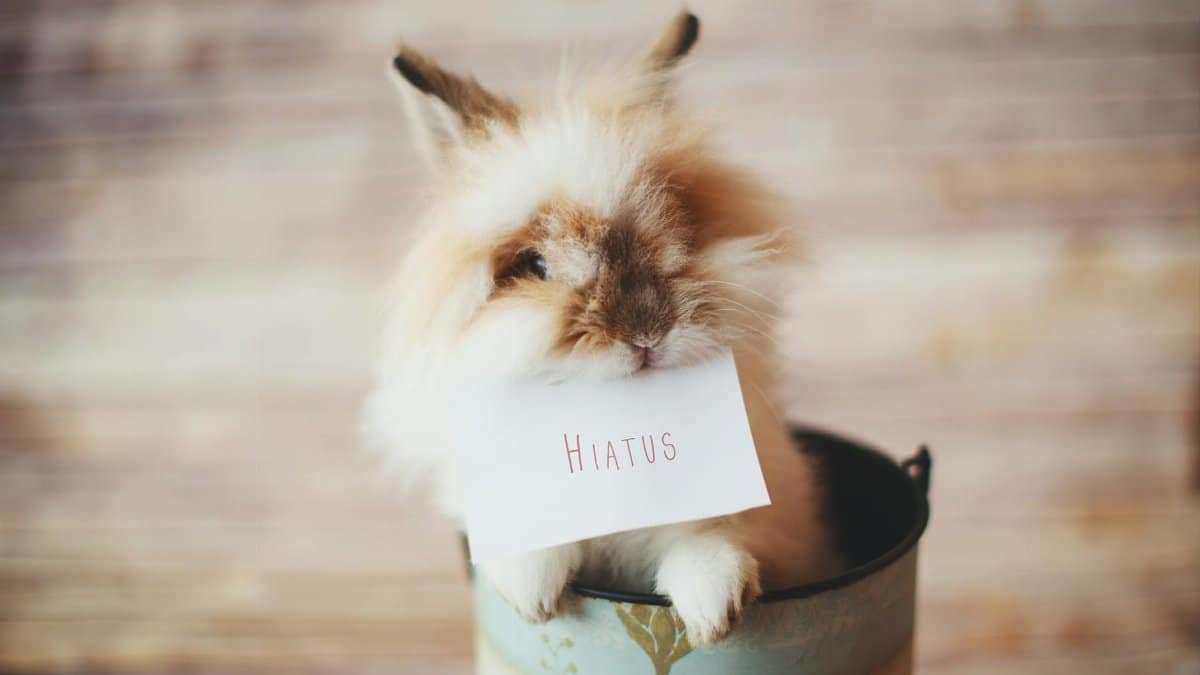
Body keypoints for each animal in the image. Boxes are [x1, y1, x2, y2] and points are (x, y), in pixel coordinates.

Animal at [362, 11, 842, 646]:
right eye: (536, 266)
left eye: (676, 224)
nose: (645, 332)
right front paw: (533, 597)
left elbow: (712, 535)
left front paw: (713, 611)